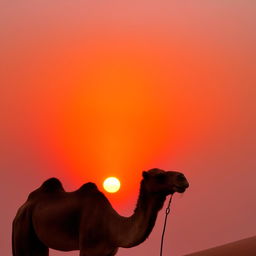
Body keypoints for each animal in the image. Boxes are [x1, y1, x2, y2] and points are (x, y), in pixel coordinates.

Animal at [12, 168, 188, 256]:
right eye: (159, 176)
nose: (182, 178)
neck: (113, 228)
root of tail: (22, 208)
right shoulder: (89, 249)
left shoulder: (109, 253)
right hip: (22, 228)